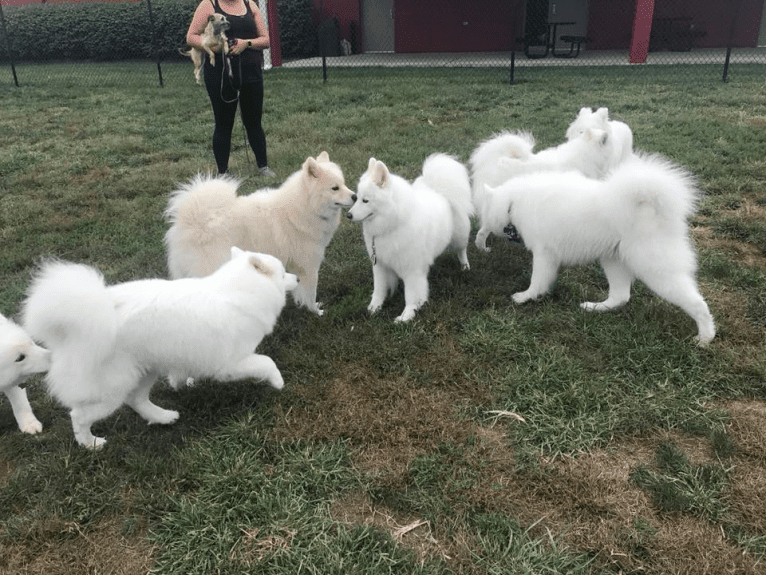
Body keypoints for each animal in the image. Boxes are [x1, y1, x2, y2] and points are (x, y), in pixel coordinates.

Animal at [22, 249, 298, 450]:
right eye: (283, 273)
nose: (297, 277)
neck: (239, 293)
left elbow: (183, 372)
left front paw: (183, 382)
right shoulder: (232, 364)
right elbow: (267, 362)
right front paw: (278, 382)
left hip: (145, 370)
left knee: (137, 400)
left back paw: (162, 416)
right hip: (112, 389)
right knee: (79, 416)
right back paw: (90, 444)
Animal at [348, 155, 474, 322]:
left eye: (365, 200)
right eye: (356, 198)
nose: (348, 215)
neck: (392, 225)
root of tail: (438, 191)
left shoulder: (412, 270)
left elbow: (412, 296)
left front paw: (406, 316)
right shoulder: (380, 265)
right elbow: (379, 289)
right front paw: (374, 308)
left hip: (459, 237)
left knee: (462, 250)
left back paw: (465, 266)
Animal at [484, 153, 716, 344]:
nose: (483, 228)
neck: (514, 201)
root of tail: (652, 206)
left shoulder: (544, 254)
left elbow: (537, 281)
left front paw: (525, 297)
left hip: (656, 270)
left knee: (698, 304)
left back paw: (705, 337)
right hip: (614, 262)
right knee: (621, 297)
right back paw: (596, 308)